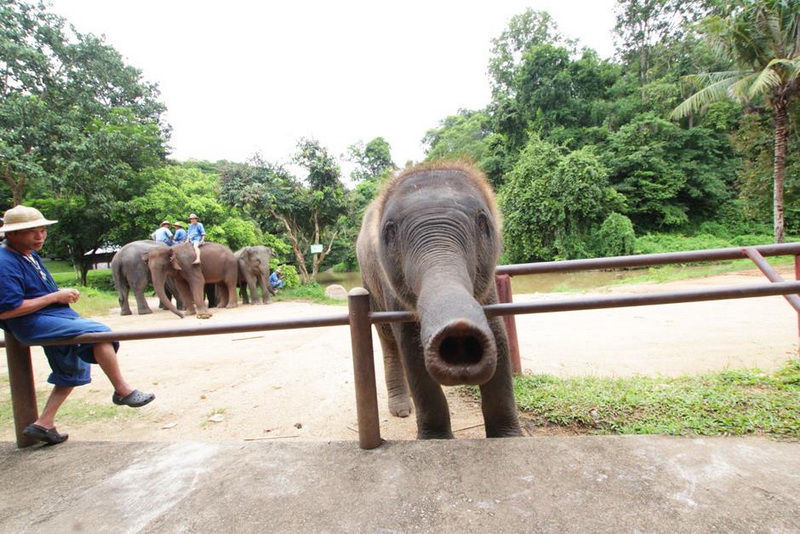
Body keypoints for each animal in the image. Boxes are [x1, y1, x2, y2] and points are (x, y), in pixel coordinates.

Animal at [358, 161, 524, 442]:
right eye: (390, 231)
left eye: (482, 221)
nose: (459, 333)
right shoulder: (389, 286)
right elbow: (411, 347)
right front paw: (435, 439)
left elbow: (498, 335)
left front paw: (509, 437)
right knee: (389, 342)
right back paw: (401, 409)